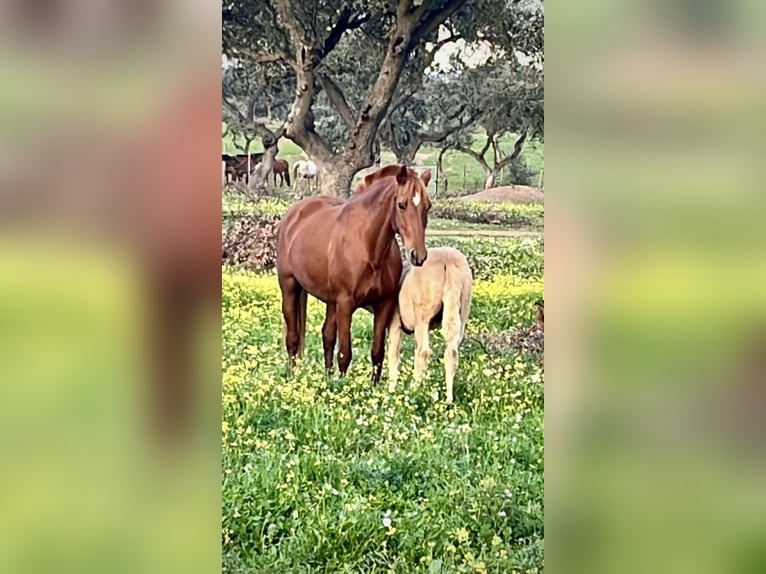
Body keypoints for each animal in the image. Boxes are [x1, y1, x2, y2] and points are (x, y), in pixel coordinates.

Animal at [276, 164, 432, 384]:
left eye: (428, 206)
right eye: (402, 205)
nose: (418, 255)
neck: (369, 247)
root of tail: (295, 213)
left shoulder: (383, 304)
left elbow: (377, 353)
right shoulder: (345, 304)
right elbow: (345, 354)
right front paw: (342, 387)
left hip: (330, 301)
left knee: (327, 336)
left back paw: (327, 377)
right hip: (290, 287)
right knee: (293, 339)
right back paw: (292, 377)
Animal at [390, 248, 474, 404]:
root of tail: (449, 262)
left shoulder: (394, 323)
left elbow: (393, 356)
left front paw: (390, 390)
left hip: (422, 316)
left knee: (423, 352)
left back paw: (413, 390)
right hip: (462, 309)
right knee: (451, 353)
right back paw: (448, 399)